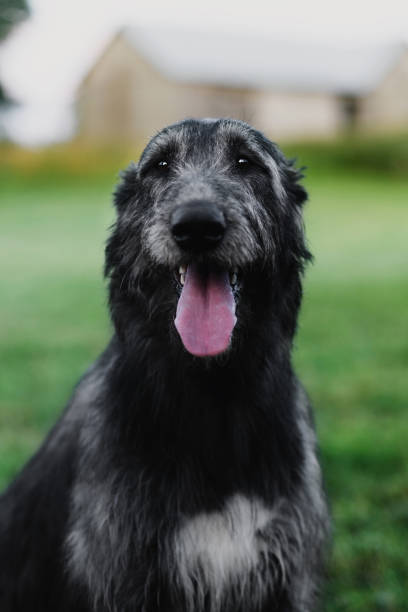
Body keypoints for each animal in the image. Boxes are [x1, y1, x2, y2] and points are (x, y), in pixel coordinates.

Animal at [0, 117, 330, 608]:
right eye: (160, 165)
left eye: (246, 162)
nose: (197, 226)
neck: (211, 399)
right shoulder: (122, 572)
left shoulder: (286, 575)